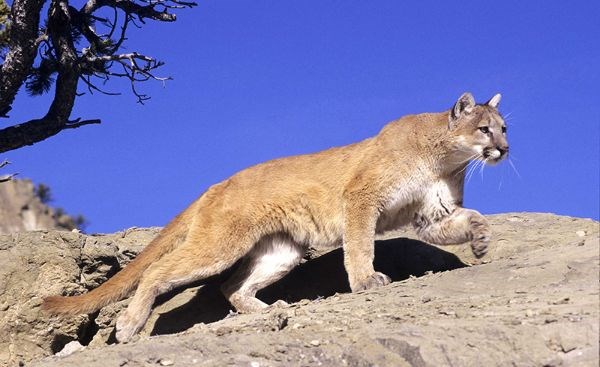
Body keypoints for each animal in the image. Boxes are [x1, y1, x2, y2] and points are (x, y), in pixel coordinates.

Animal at [43, 91, 510, 342]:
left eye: (505, 128)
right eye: (484, 129)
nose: (504, 149)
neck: (444, 158)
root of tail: (217, 184)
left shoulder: (431, 215)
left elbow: (469, 219)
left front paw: (482, 239)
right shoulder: (361, 198)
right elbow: (360, 244)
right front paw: (365, 281)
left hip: (281, 251)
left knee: (231, 285)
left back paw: (265, 310)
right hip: (221, 243)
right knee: (159, 271)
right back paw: (128, 326)